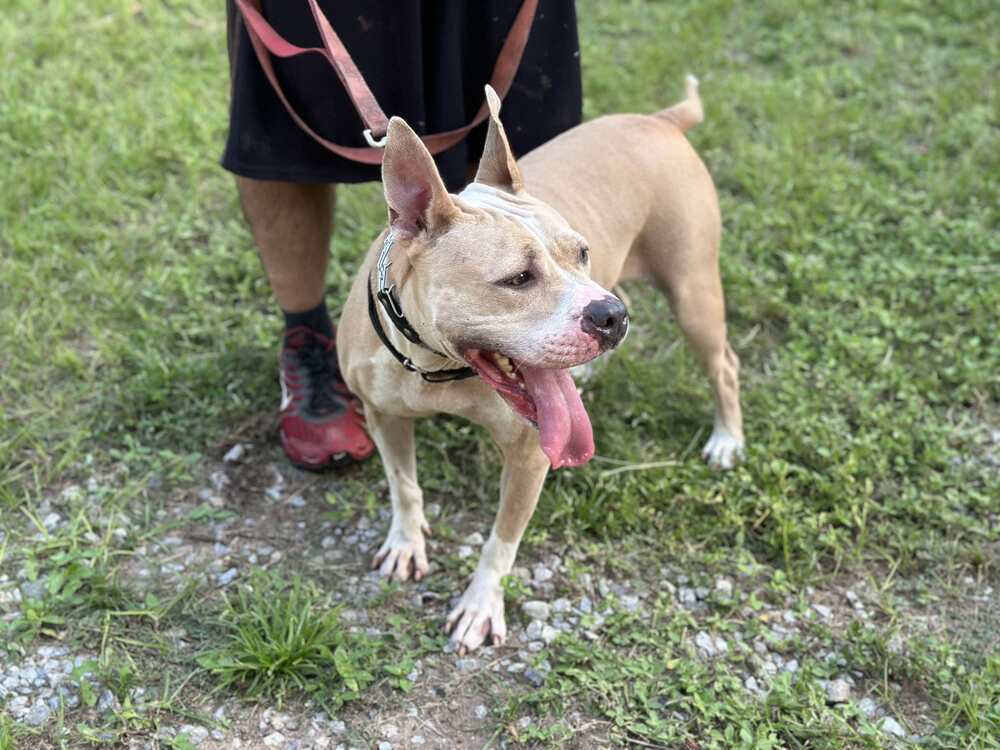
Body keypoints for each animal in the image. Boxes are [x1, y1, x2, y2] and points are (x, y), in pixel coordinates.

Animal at [336, 75, 744, 652]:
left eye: (582, 252)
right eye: (517, 279)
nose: (608, 318)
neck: (435, 362)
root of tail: (660, 120)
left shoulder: (530, 454)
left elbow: (501, 540)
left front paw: (480, 607)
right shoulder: (382, 414)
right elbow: (404, 485)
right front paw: (406, 543)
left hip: (693, 294)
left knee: (723, 365)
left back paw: (727, 439)